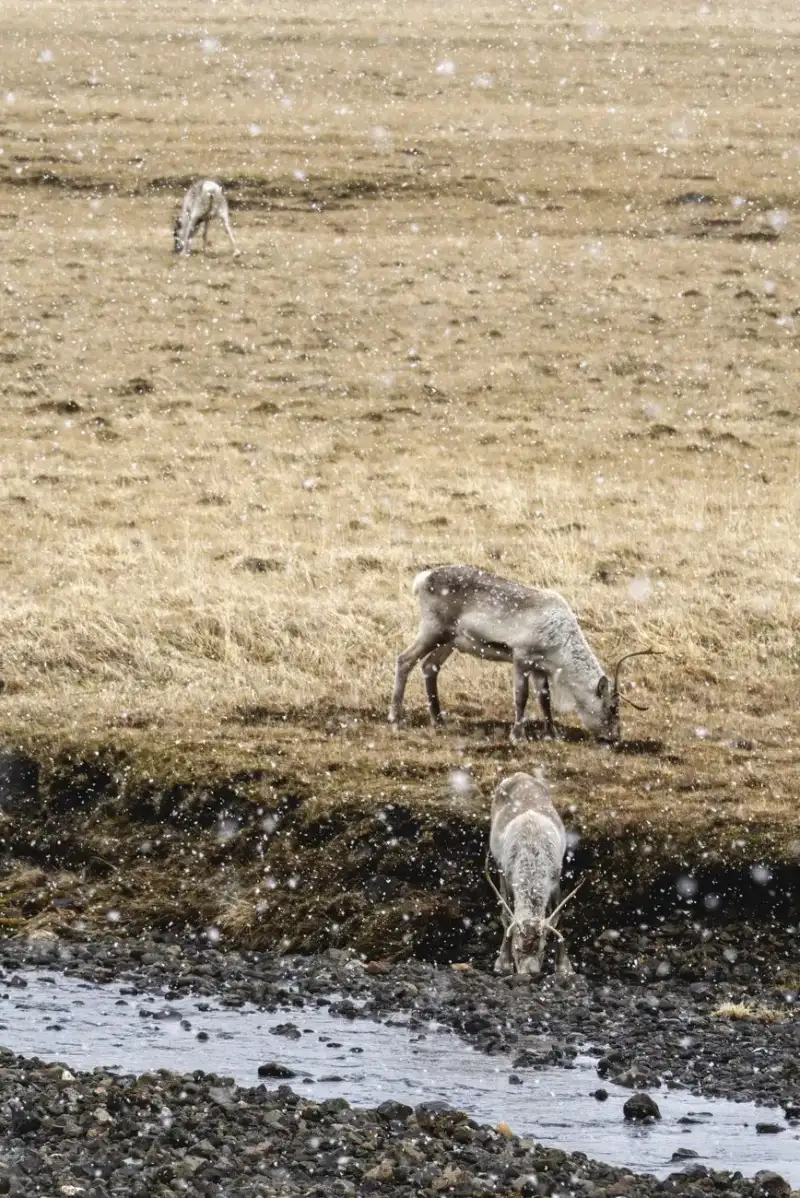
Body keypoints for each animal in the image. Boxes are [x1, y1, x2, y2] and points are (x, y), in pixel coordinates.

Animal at [388, 565, 657, 744]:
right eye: (612, 707)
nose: (617, 737)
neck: (560, 646)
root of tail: (422, 579)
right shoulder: (521, 657)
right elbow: (521, 696)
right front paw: (518, 736)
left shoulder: (540, 666)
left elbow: (544, 698)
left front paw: (552, 734)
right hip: (434, 629)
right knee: (404, 660)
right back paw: (395, 718)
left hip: (451, 640)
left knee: (429, 666)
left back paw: (438, 721)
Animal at [488, 771, 578, 976]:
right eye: (517, 947)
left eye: (542, 948)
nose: (531, 972)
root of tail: (518, 774)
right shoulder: (507, 876)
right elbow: (507, 916)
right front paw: (502, 963)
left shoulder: (555, 879)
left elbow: (558, 918)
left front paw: (564, 966)